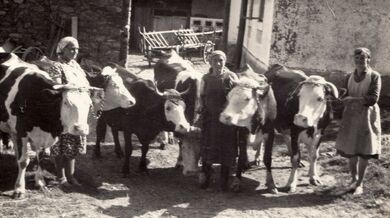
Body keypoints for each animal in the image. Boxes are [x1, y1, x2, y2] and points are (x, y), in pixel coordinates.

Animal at [0, 52, 97, 198]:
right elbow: (24, 161)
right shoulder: (22, 131)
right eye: (66, 103)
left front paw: (40, 182)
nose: (80, 129)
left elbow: (41, 158)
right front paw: (19, 189)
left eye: (89, 105)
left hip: (12, 128)